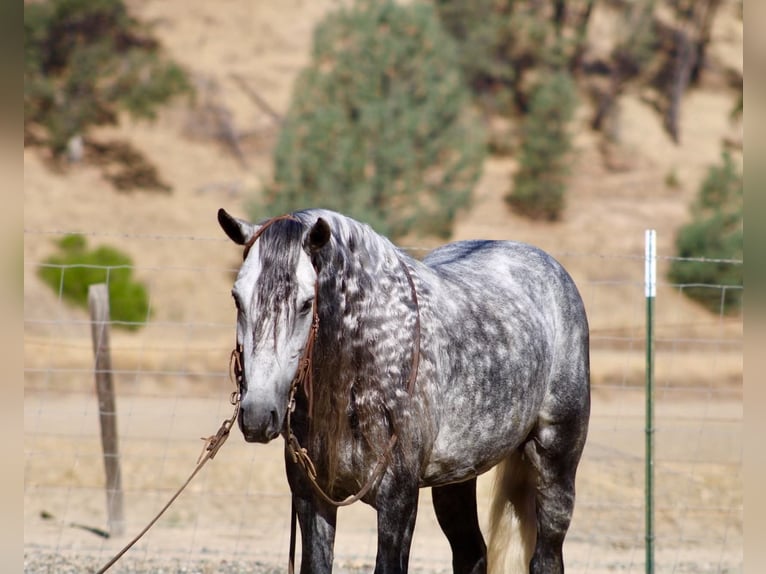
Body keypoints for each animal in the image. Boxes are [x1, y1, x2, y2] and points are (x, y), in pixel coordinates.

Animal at [217, 207, 590, 574]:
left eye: (307, 303)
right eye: (237, 298)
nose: (257, 415)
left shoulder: (398, 498)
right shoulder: (312, 495)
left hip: (556, 464)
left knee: (546, 558)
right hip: (455, 480)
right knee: (472, 553)